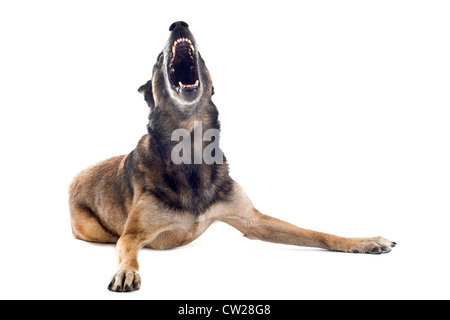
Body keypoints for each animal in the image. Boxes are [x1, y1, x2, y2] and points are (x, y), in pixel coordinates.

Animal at [68, 20, 396, 292]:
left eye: (201, 57)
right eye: (158, 58)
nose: (179, 24)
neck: (189, 148)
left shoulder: (254, 220)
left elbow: (315, 233)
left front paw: (363, 242)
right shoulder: (132, 235)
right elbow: (128, 253)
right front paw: (126, 271)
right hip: (92, 229)